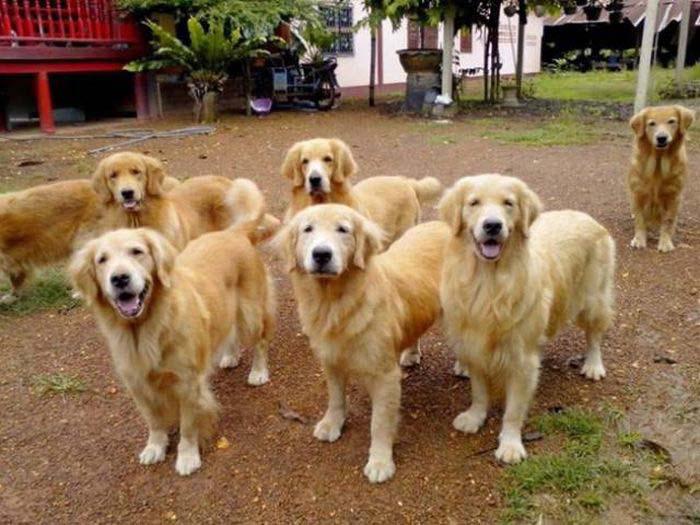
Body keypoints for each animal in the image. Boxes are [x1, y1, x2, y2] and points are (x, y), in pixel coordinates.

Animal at [69, 225, 278, 474]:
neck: (146, 329)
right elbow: (154, 421)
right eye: (102, 260)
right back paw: (230, 355)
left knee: (261, 342)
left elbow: (188, 426)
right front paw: (155, 446)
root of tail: (233, 232)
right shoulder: (138, 384)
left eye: (136, 251)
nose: (119, 278)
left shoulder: (187, 383)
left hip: (251, 314)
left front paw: (187, 456)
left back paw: (258, 372)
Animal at [276, 203, 452, 482]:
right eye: (307, 229)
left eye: (343, 229)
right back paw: (412, 354)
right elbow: (336, 398)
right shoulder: (331, 360)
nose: (321, 254)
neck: (335, 303)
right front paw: (332, 423)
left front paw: (380, 461)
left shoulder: (385, 374)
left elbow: (379, 422)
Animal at [440, 175, 616, 462]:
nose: (492, 225)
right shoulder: (475, 345)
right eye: (474, 203)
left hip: (593, 299)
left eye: (508, 203)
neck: (489, 283)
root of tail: (586, 216)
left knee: (594, 335)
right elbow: (479, 392)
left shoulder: (522, 360)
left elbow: (513, 410)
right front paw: (475, 417)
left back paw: (593, 365)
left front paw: (510, 445)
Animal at [628, 105, 696, 252]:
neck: (658, 162)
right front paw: (639, 240)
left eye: (671, 121)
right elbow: (640, 219)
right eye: (651, 124)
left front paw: (665, 242)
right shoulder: (638, 193)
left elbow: (668, 221)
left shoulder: (673, 196)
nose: (662, 138)